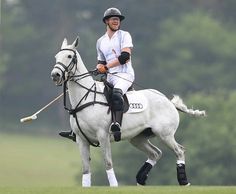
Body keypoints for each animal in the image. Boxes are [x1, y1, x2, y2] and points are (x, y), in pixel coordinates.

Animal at [50, 37, 206, 187]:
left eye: (69, 56)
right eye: (56, 56)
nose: (55, 75)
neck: (85, 98)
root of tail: (169, 102)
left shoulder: (102, 135)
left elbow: (108, 162)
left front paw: (114, 186)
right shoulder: (81, 139)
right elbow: (86, 168)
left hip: (165, 134)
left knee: (179, 150)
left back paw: (183, 182)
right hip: (138, 137)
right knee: (155, 153)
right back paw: (140, 180)